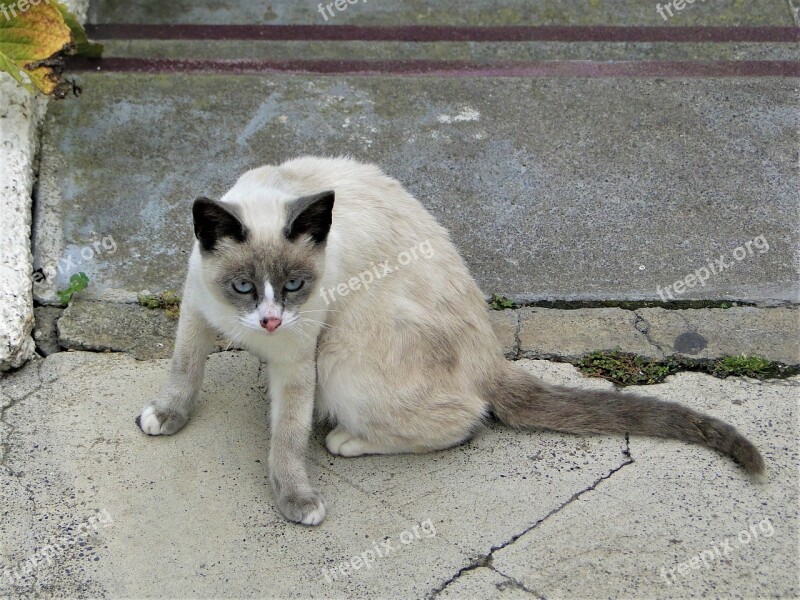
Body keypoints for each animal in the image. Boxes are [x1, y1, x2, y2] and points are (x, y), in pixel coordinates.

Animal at [136, 156, 764, 524]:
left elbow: (286, 441)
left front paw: (296, 502)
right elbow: (183, 372)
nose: (269, 321)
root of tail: (490, 353)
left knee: (465, 421)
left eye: (293, 285)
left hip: (337, 362)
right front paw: (166, 418)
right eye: (242, 286)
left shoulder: (297, 359)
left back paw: (346, 440)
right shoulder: (196, 311)